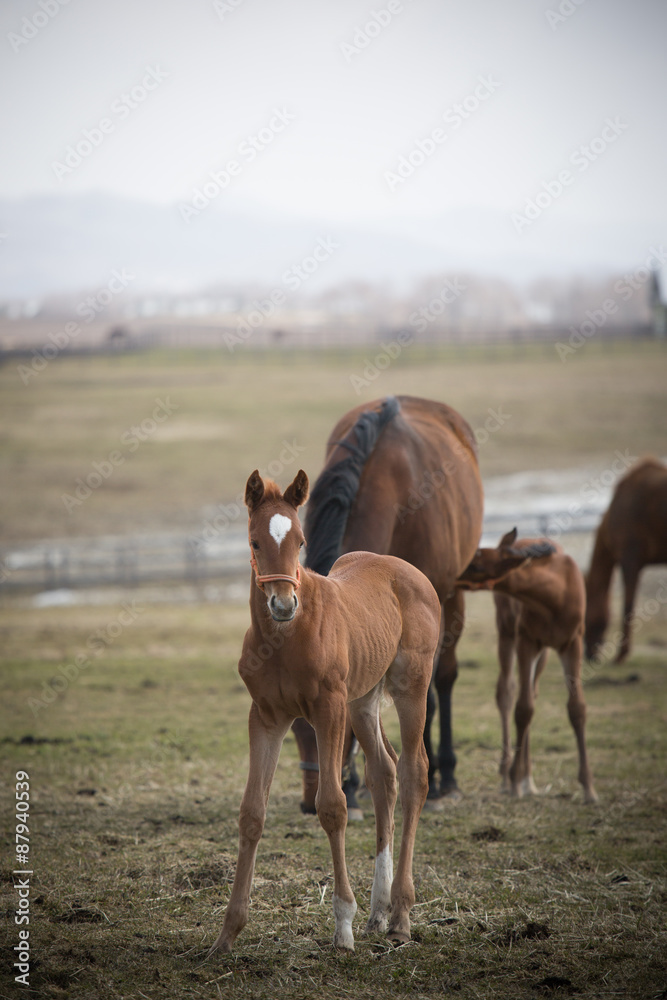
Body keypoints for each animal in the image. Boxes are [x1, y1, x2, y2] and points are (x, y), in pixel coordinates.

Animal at [210, 469, 441, 954]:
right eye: (255, 540)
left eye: (300, 540)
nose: (283, 604)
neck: (285, 639)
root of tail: (406, 569)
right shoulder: (266, 717)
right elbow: (251, 812)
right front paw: (227, 933)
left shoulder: (327, 710)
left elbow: (333, 806)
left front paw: (343, 927)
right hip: (362, 700)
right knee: (383, 772)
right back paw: (379, 910)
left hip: (408, 686)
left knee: (414, 772)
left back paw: (400, 916)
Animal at [293, 395, 484, 807]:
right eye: (295, 729)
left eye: (336, 725)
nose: (311, 801)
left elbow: (427, 696)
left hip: (452, 592)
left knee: (445, 679)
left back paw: (447, 773)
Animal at [457, 528, 598, 804]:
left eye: (477, 565)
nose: (454, 576)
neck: (554, 595)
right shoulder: (526, 641)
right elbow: (522, 709)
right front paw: (513, 780)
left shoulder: (572, 643)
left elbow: (576, 708)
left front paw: (589, 787)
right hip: (507, 634)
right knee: (506, 692)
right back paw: (508, 776)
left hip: (542, 654)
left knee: (531, 692)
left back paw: (528, 780)